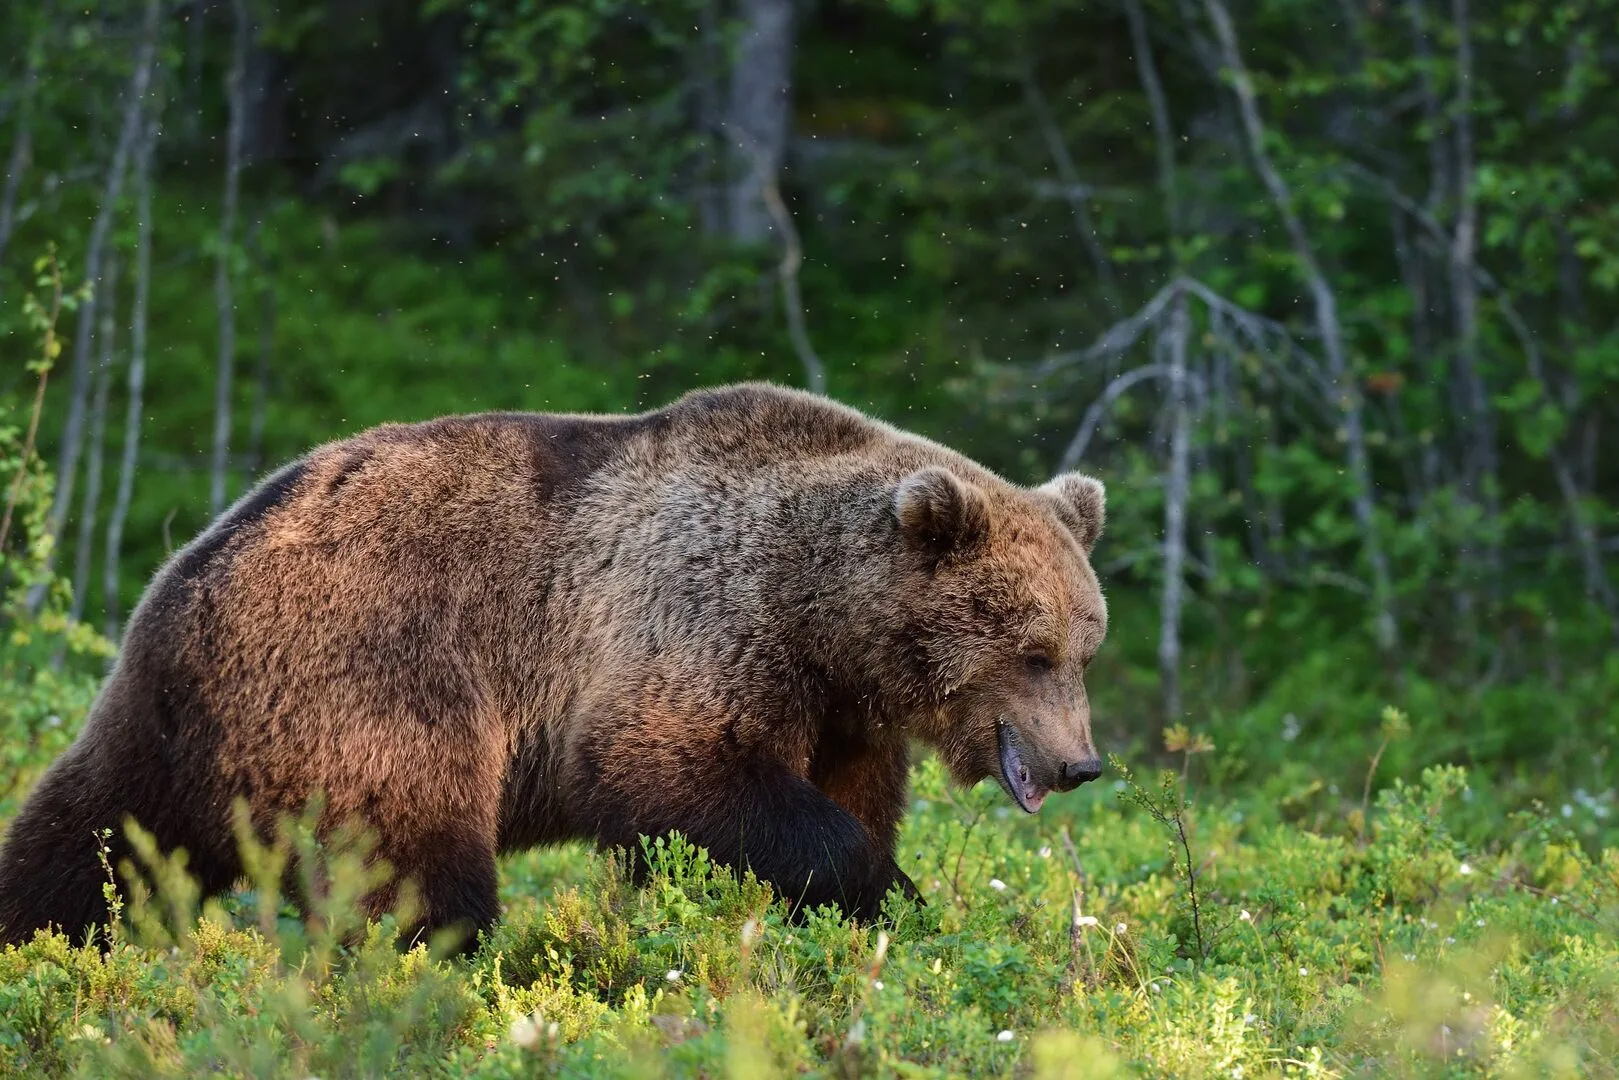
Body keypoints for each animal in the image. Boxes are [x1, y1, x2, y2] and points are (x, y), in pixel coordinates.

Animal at [0, 383, 1107, 952]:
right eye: (1031, 649)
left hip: (163, 723)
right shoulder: (700, 620)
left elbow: (848, 796)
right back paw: (446, 965)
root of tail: (193, 572)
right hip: (368, 679)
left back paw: (41, 940)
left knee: (87, 839)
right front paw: (878, 887)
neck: (824, 615)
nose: (1078, 764)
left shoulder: (840, 706)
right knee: (413, 861)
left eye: (1084, 645)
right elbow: (672, 770)